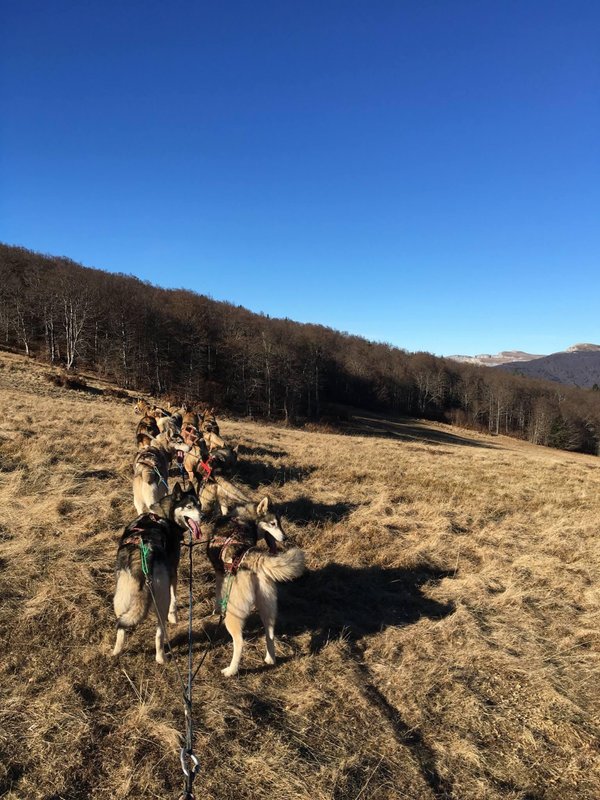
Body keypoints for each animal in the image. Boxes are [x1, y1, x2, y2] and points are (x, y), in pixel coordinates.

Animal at [113, 484, 204, 664]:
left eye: (200, 505)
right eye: (189, 506)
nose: (203, 516)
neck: (162, 515)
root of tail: (142, 559)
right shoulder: (173, 572)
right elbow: (174, 599)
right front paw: (175, 617)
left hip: (120, 601)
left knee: (121, 629)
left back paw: (116, 652)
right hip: (161, 601)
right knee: (160, 633)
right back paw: (161, 657)